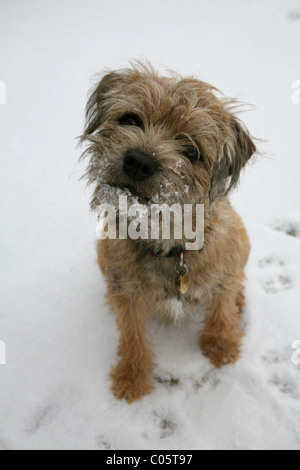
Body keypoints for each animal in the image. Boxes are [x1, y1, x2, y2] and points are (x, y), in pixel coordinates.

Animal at [81, 62, 256, 404]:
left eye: (191, 150)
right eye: (130, 119)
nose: (139, 161)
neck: (167, 241)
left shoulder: (223, 269)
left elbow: (222, 307)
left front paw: (222, 347)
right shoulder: (127, 292)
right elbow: (132, 334)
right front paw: (131, 378)